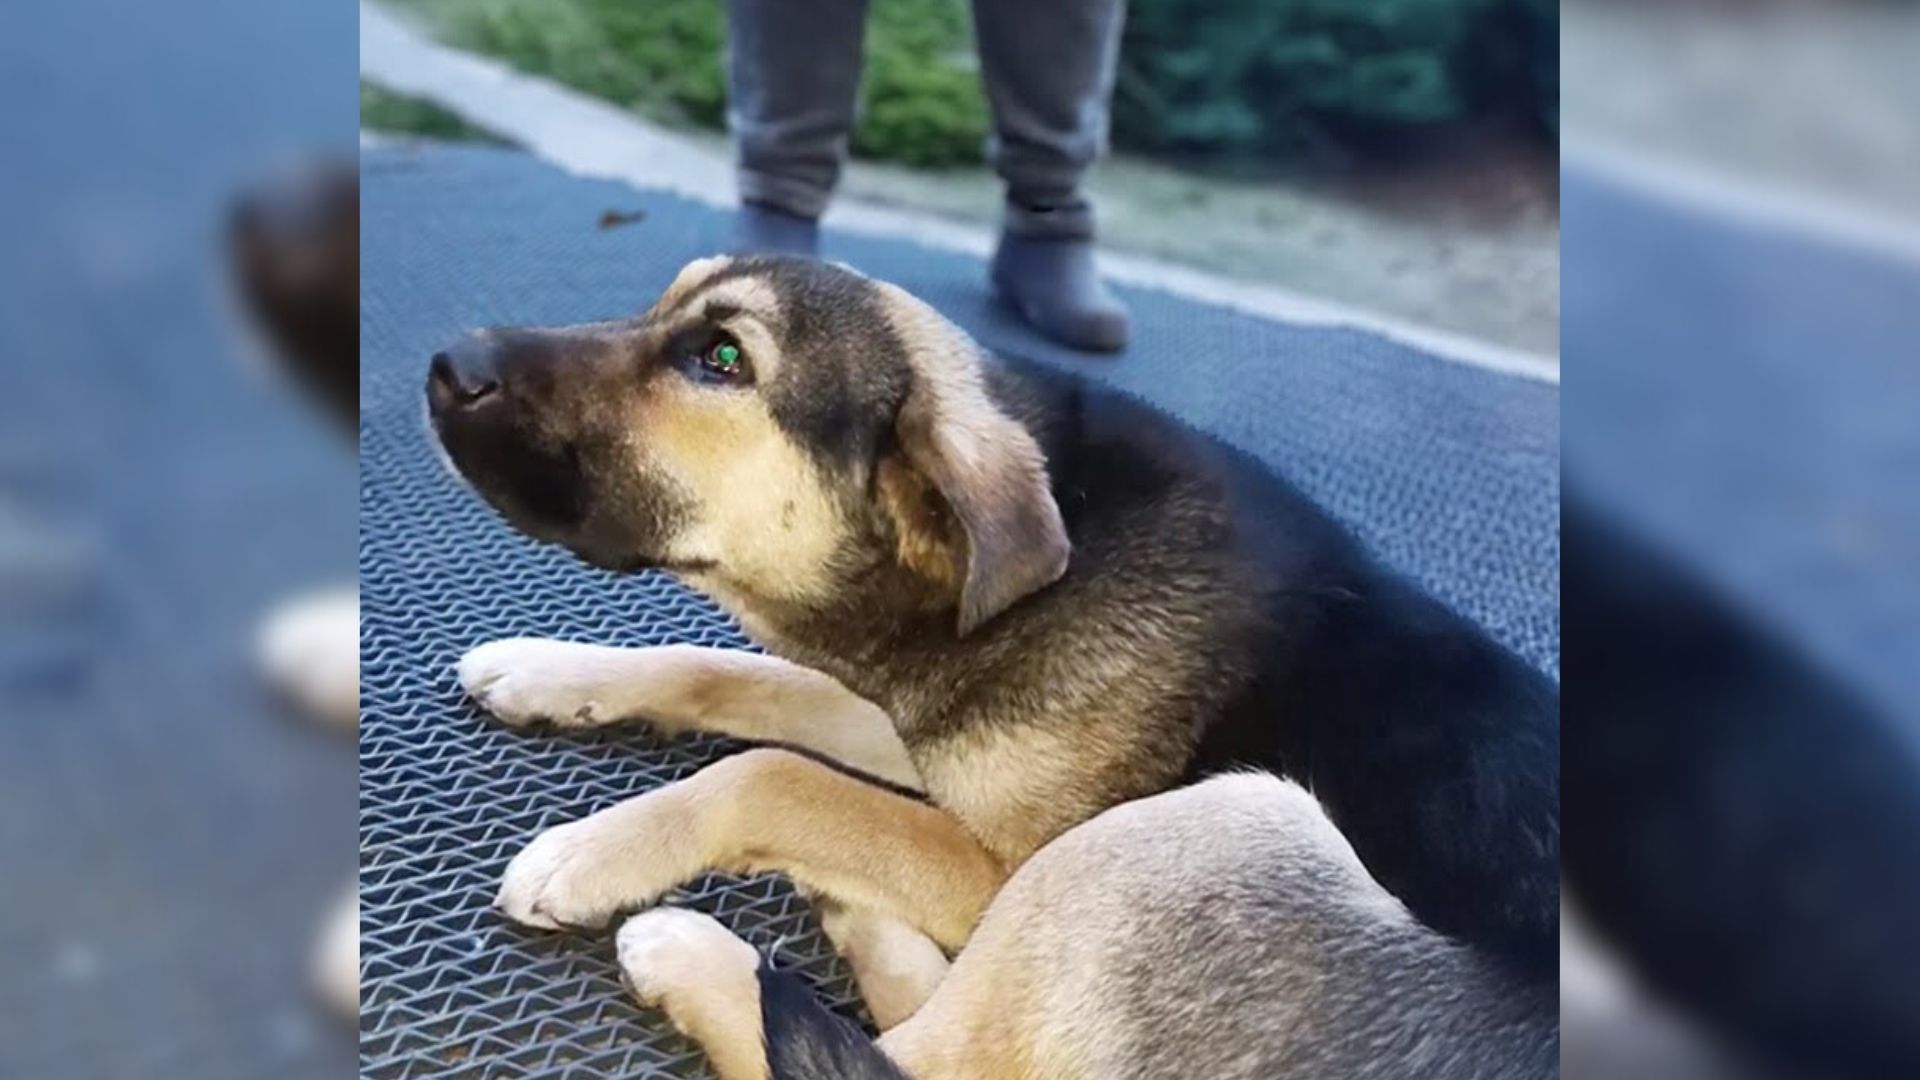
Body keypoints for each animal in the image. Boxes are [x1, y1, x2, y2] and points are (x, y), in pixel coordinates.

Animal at [424, 255, 1559, 1068]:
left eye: (724, 359)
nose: (448, 365)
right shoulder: (933, 728)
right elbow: (739, 674)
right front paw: (550, 671)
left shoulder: (1000, 867)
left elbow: (773, 773)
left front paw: (593, 852)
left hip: (1209, 832)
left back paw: (700, 954)